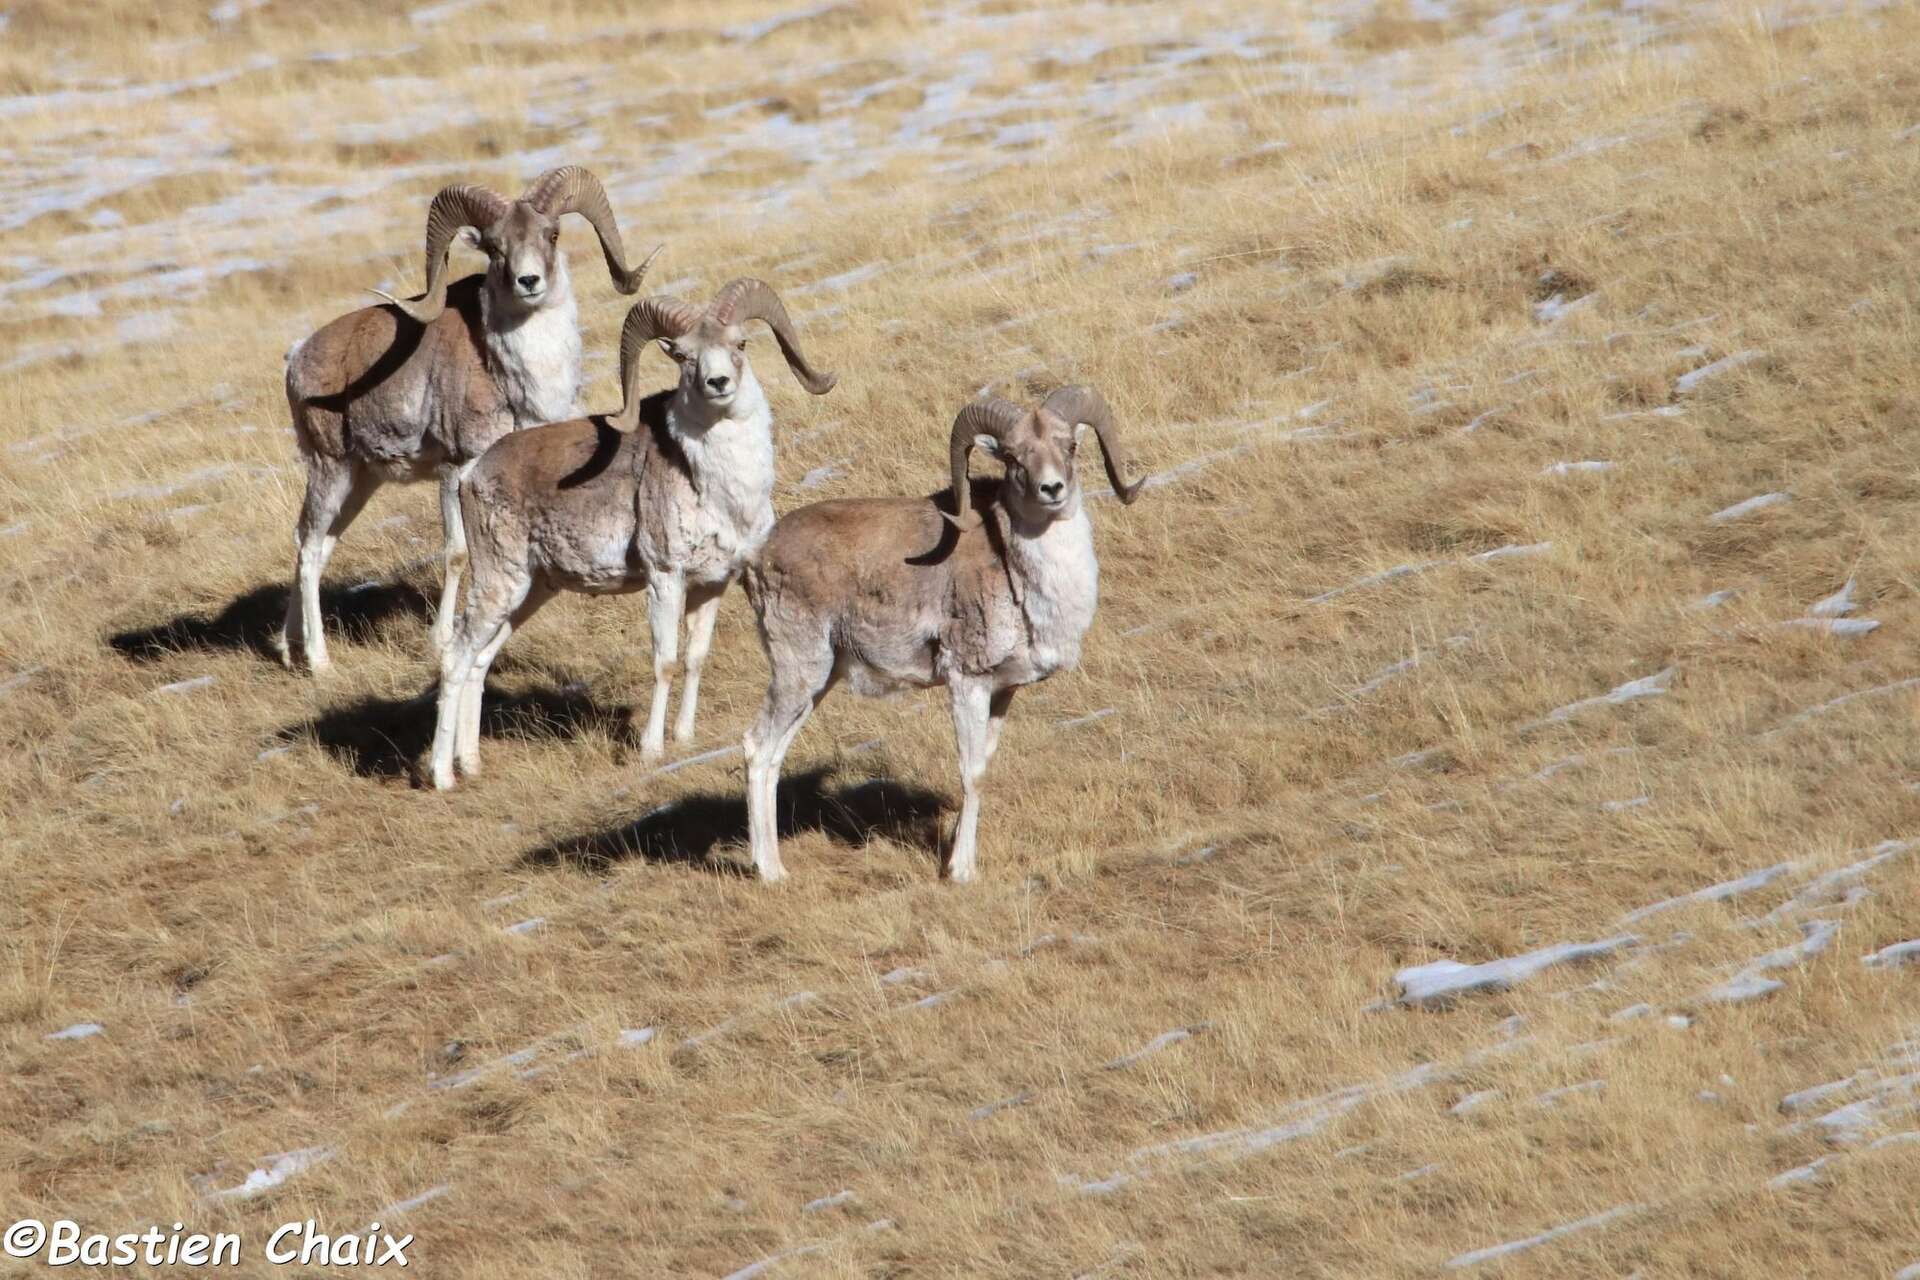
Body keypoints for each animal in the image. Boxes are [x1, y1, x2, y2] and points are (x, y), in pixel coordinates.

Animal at [274, 163, 656, 671]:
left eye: (551, 234)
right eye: (495, 247)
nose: (529, 282)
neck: (518, 373)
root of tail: (298, 358)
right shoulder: (457, 468)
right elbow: (457, 552)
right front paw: (439, 641)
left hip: (359, 481)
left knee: (312, 545)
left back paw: (287, 650)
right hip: (330, 469)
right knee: (311, 546)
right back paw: (318, 662)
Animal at [432, 278, 837, 790]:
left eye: (740, 344)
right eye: (683, 356)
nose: (718, 384)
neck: (723, 489)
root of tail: (473, 475)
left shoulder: (712, 584)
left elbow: (695, 657)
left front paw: (684, 737)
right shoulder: (664, 577)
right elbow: (665, 661)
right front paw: (652, 749)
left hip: (529, 590)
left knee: (479, 663)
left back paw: (471, 764)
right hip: (497, 582)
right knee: (455, 657)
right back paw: (442, 776)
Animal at [741, 387, 1144, 882]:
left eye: (1069, 446)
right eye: (1013, 457)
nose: (1052, 490)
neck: (1024, 577)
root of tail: (757, 557)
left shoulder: (1002, 691)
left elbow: (984, 766)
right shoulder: (967, 683)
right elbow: (972, 774)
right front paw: (961, 871)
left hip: (818, 683)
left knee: (774, 757)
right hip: (800, 672)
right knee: (757, 749)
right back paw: (770, 872)